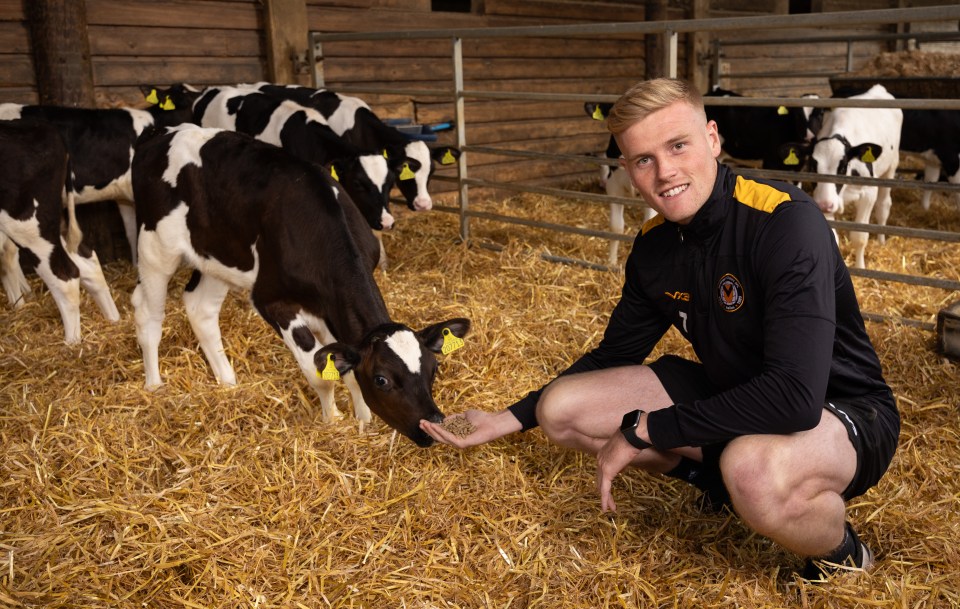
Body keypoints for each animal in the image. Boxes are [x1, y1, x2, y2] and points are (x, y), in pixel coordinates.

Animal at [0, 119, 119, 342]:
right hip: (55, 223)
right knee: (88, 262)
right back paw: (114, 320)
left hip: (28, 225)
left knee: (65, 276)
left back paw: (72, 343)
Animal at [130, 124, 468, 446]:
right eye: (382, 379)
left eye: (434, 369)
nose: (432, 425)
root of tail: (160, 132)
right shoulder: (273, 302)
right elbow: (320, 374)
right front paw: (333, 419)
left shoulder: (331, 311)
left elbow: (346, 370)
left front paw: (364, 420)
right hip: (155, 248)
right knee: (148, 314)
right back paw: (154, 385)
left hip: (217, 257)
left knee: (201, 310)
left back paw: (227, 382)